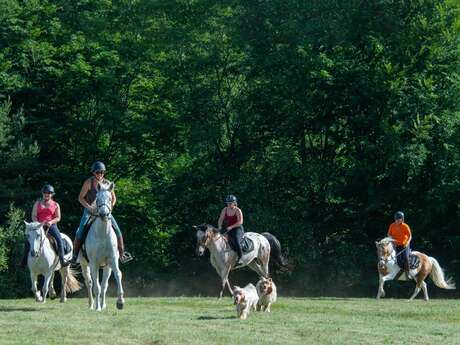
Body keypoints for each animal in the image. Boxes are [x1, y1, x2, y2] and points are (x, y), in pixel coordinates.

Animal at [77, 181, 124, 310]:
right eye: (97, 199)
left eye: (110, 198)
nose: (104, 214)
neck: (103, 234)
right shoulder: (94, 263)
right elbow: (96, 287)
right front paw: (97, 308)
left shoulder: (112, 260)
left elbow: (118, 275)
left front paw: (120, 302)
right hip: (84, 264)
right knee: (89, 283)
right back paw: (91, 305)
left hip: (107, 267)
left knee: (104, 285)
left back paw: (103, 305)